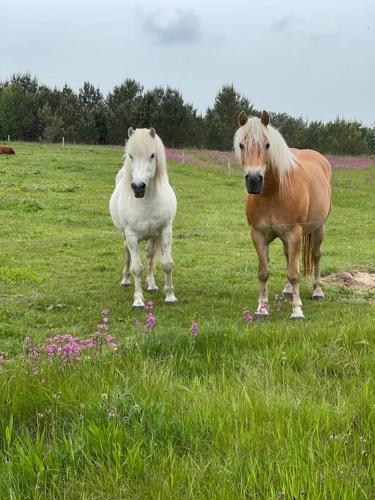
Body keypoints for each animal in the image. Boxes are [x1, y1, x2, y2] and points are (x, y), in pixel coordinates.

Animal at [109, 126, 178, 308]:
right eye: (131, 155)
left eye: (152, 155)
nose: (138, 187)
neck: (146, 201)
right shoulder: (131, 236)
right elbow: (137, 268)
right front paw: (138, 300)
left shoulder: (165, 232)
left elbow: (167, 264)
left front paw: (170, 296)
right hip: (125, 236)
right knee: (127, 254)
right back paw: (125, 280)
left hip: (152, 237)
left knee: (149, 256)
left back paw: (152, 284)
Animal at [235, 111, 332, 318]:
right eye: (241, 145)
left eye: (267, 144)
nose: (254, 180)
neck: (273, 194)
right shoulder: (258, 234)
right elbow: (263, 272)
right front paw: (262, 309)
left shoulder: (294, 233)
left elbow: (294, 273)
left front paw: (297, 311)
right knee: (289, 256)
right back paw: (288, 291)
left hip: (318, 228)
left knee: (316, 255)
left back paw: (318, 292)